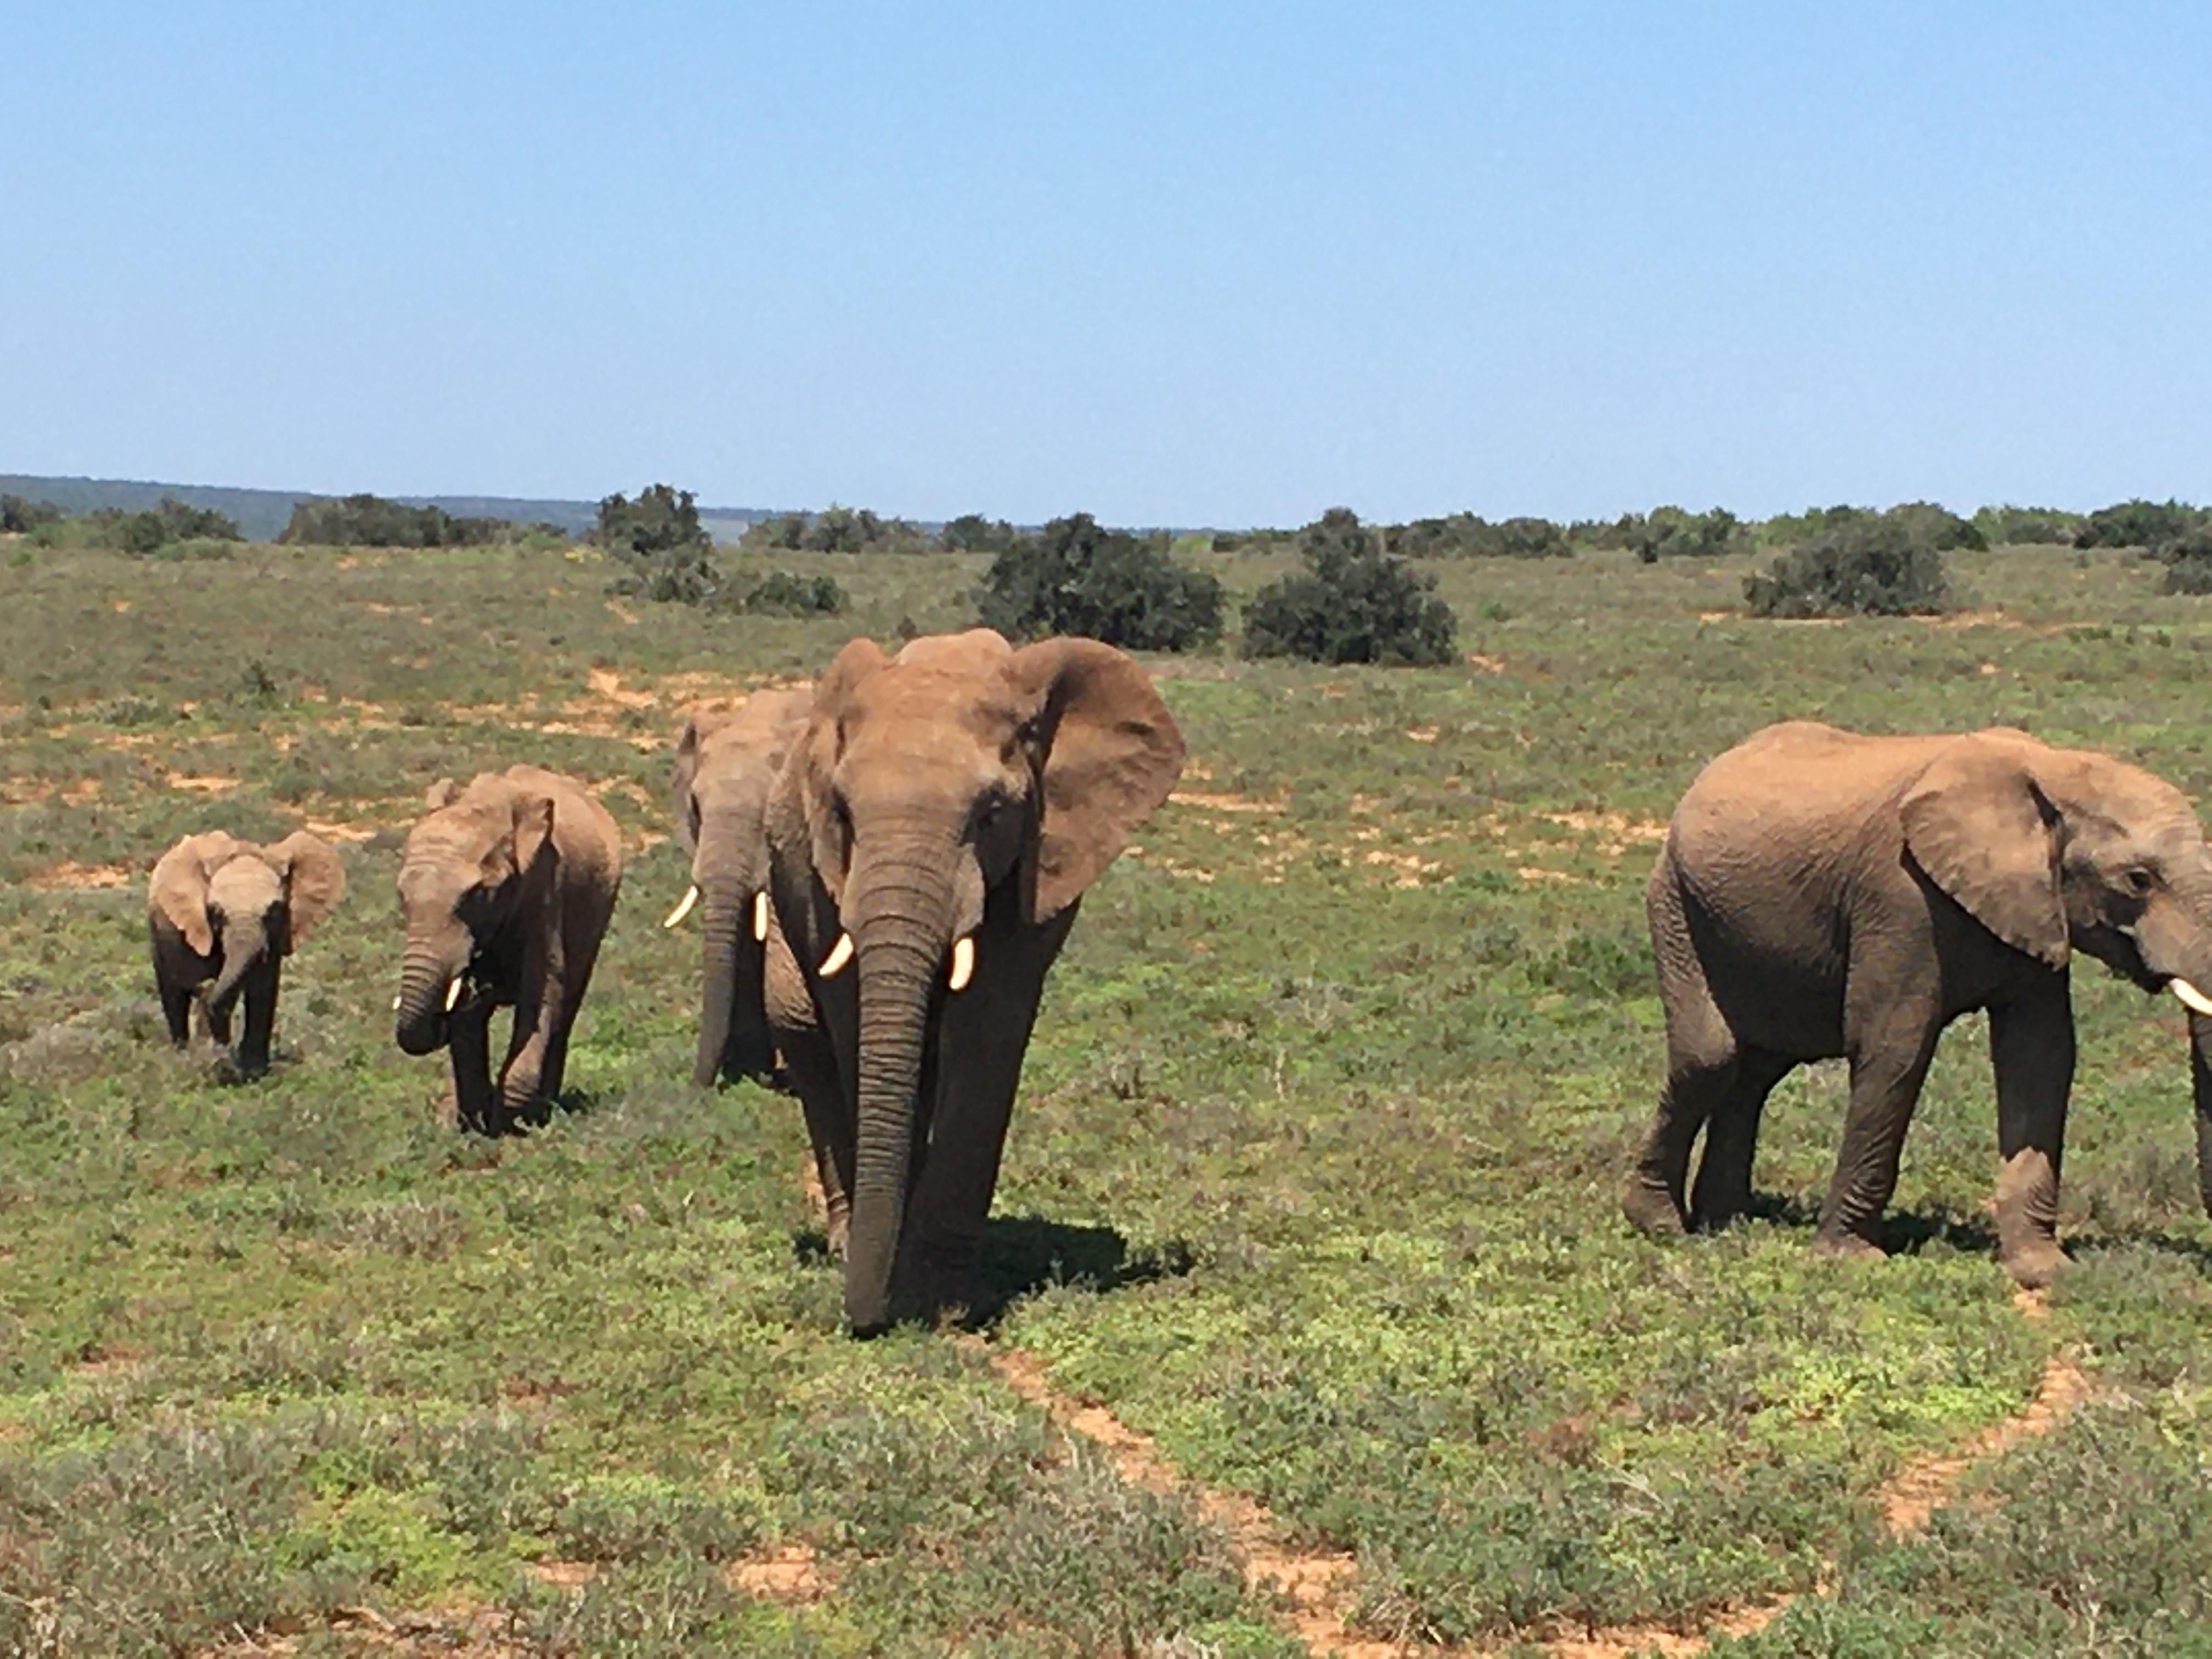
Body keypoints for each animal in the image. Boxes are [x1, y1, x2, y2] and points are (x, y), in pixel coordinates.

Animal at [147, 832, 345, 1079]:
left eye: (274, 910)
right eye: (216, 912)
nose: (205, 990)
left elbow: (263, 990)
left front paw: (253, 1071)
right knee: (173, 996)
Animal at [393, 770, 624, 1141]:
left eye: (476, 895)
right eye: (402, 896)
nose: (475, 983)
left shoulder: (544, 888)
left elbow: (542, 994)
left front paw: (507, 1125)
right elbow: (469, 1022)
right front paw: (473, 1125)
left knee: (566, 1010)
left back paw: (542, 1111)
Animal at [765, 628, 1186, 1336]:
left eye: (991, 815)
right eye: (843, 813)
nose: (864, 1321)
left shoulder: (1036, 861)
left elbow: (987, 1030)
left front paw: (940, 1301)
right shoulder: (823, 881)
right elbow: (856, 1020)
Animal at [1619, 721, 2212, 1291]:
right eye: (2138, 880)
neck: (2053, 767)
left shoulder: (2036, 913)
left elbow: (2040, 1059)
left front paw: (2044, 1271)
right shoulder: (1899, 899)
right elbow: (1894, 1048)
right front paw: (1851, 1260)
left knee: (1757, 1072)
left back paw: (1729, 1222)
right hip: (1675, 902)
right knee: (1710, 1060)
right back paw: (1661, 1225)